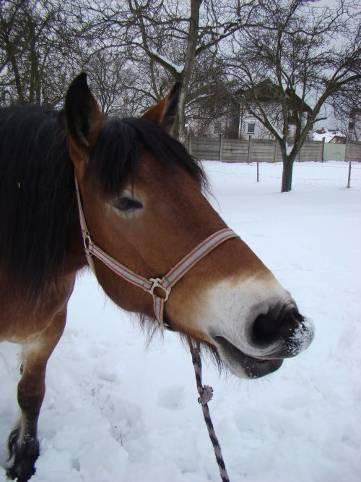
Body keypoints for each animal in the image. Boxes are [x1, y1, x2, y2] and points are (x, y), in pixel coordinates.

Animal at [0, 72, 312, 482]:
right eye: (126, 201)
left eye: (196, 188)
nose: (279, 320)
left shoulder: (49, 330)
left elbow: (31, 393)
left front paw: (23, 456)